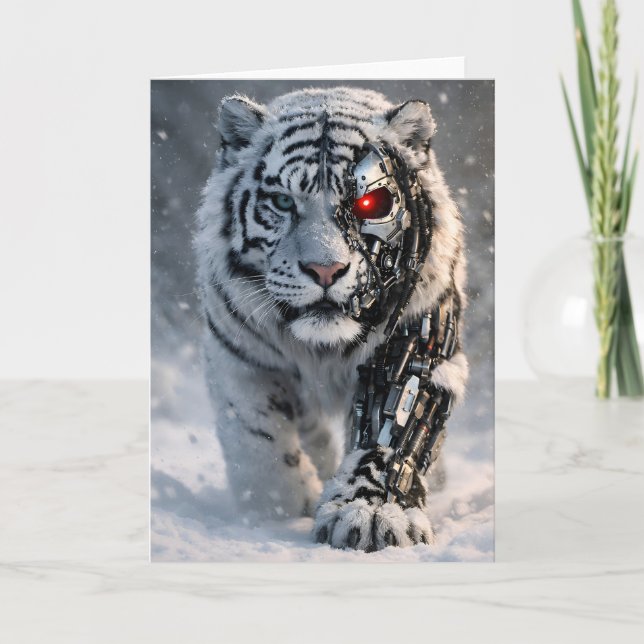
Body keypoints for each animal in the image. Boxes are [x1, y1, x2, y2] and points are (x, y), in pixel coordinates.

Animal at [195, 86, 468, 551]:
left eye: (369, 203)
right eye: (282, 202)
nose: (325, 270)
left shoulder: (414, 344)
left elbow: (389, 435)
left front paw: (370, 515)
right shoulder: (240, 358)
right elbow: (259, 440)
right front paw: (275, 512)